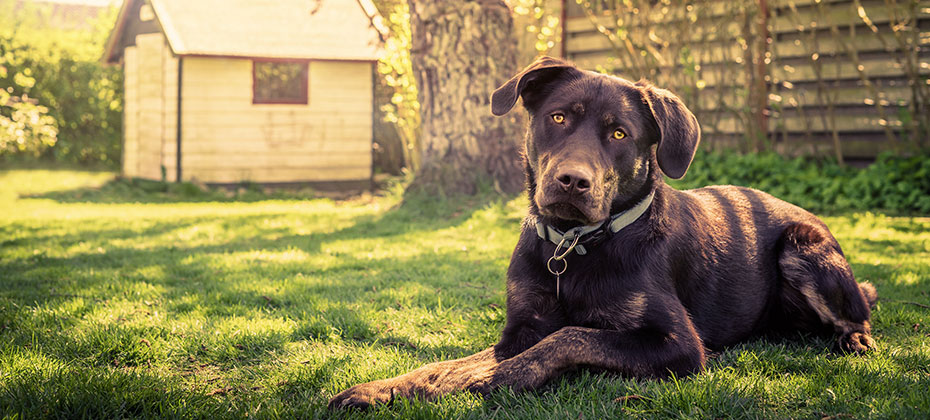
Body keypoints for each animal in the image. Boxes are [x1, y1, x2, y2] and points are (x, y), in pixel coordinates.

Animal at [328, 57, 876, 408]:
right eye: (557, 117)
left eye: (618, 133)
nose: (573, 180)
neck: (576, 247)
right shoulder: (519, 327)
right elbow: (448, 365)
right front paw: (384, 388)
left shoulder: (677, 345)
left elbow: (570, 336)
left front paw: (501, 377)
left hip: (803, 248)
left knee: (861, 314)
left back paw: (854, 340)